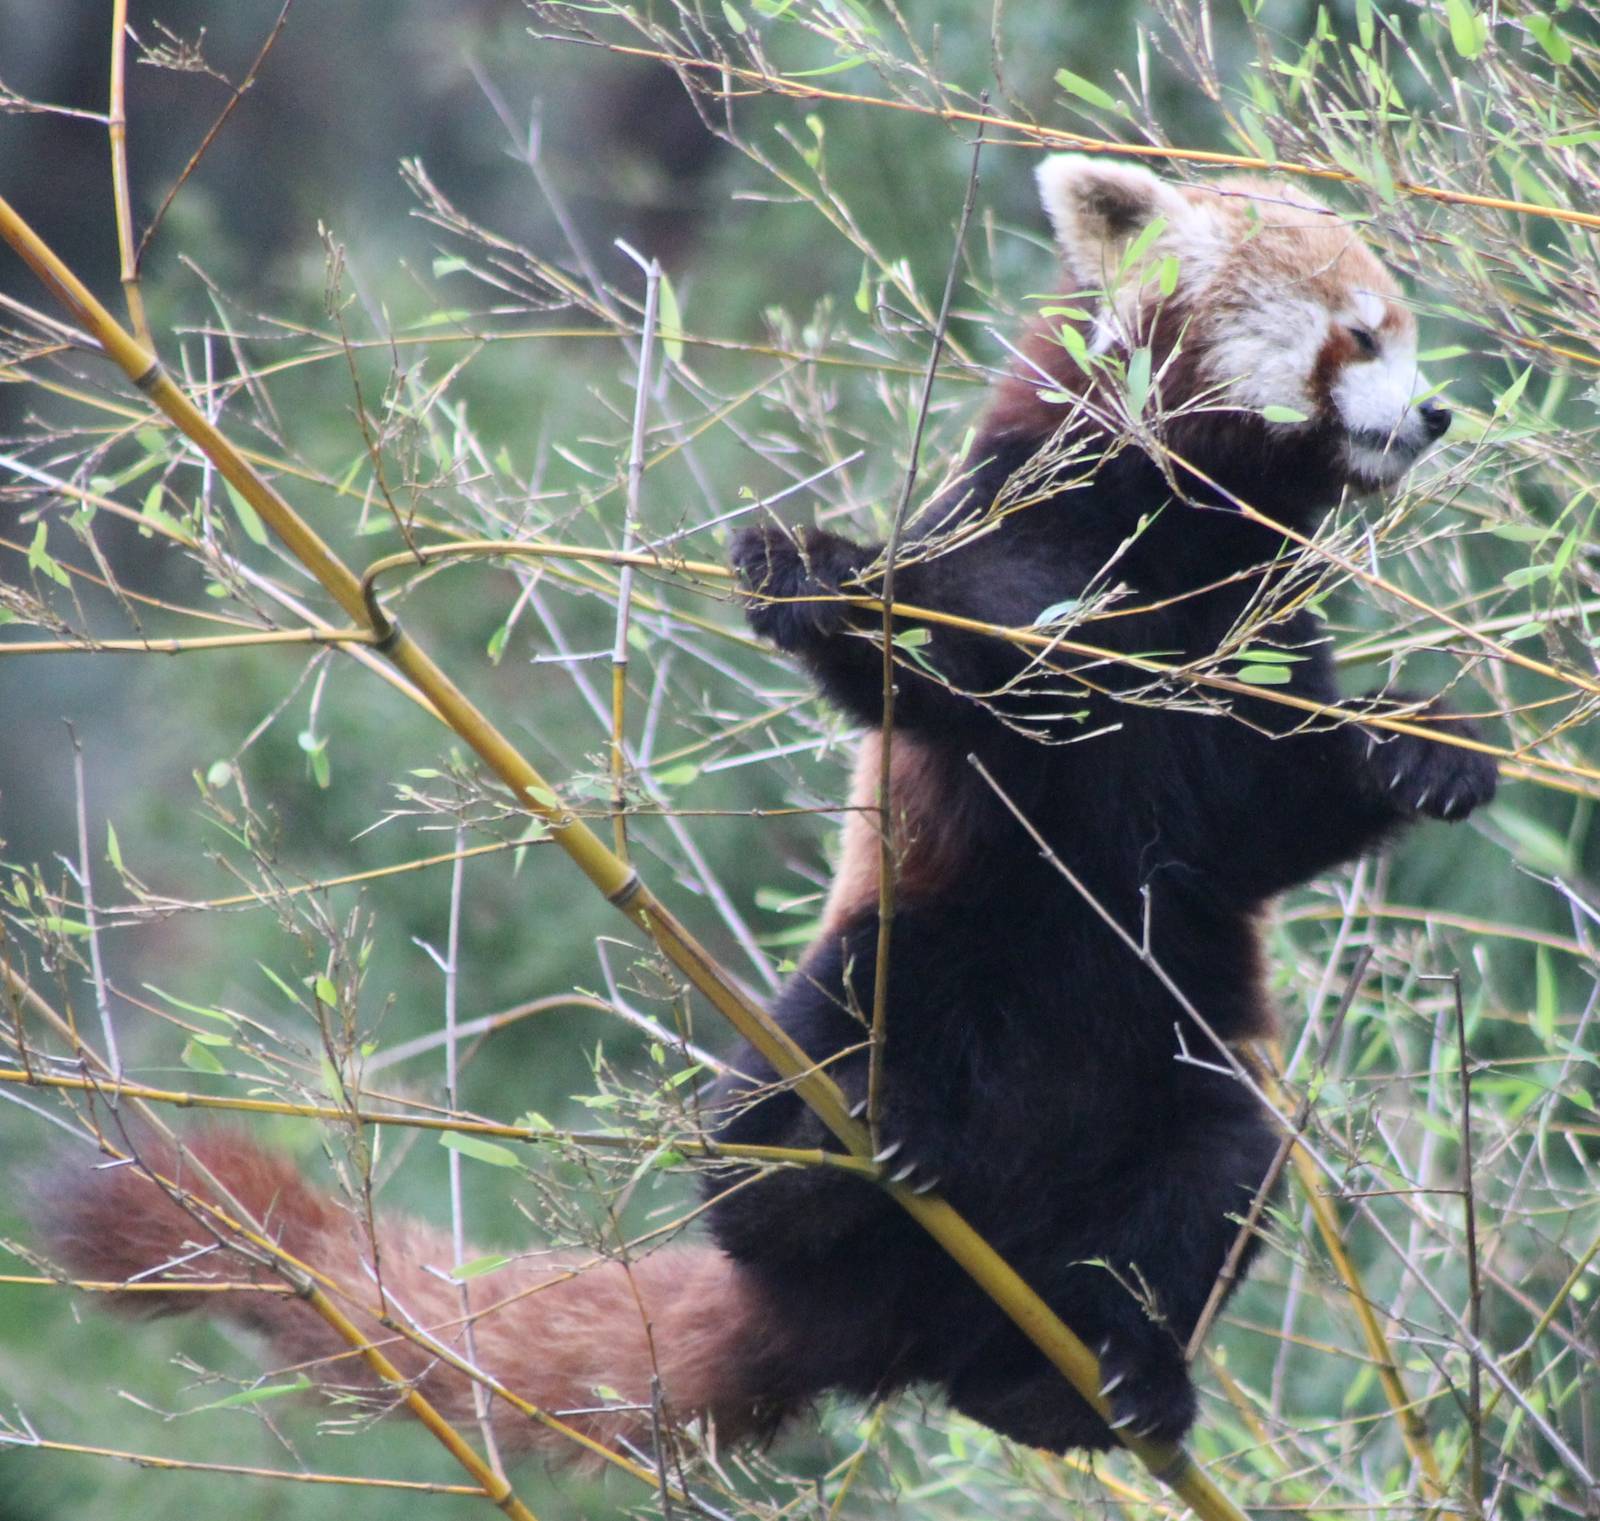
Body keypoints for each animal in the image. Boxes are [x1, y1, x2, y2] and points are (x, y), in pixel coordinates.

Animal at [41, 155, 1495, 1462]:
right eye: (1362, 332)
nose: (1435, 414)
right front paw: (826, 578)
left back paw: (1092, 1381)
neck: (1192, 535)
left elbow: (1261, 822)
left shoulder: (1258, 633)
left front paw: (1426, 751)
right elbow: (954, 664)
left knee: (1222, 1158)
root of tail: (898, 1313)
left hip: (1164, 1081)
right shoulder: (1035, 526)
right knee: (773, 1110)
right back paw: (815, 1166)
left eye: (1401, 328)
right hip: (899, 957)